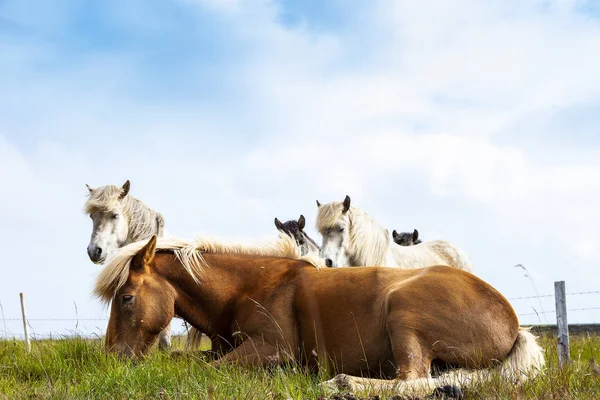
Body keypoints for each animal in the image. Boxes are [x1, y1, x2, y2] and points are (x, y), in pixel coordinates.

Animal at [96, 234, 548, 396]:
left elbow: (202, 370)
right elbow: (191, 360)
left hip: (403, 313)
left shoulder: (270, 351)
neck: (249, 289)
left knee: (411, 380)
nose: (113, 362)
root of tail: (513, 324)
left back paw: (342, 384)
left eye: (126, 298)